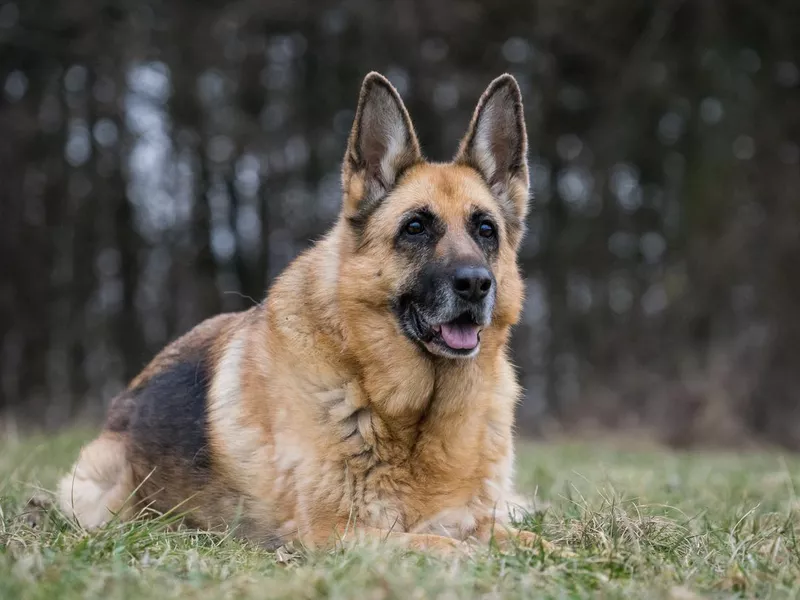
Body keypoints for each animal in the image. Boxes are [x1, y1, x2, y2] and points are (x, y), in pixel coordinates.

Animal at [54, 71, 544, 552]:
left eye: (485, 229)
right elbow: (444, 546)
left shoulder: (477, 519)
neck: (413, 414)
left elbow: (530, 541)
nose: (476, 284)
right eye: (415, 227)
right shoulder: (336, 532)